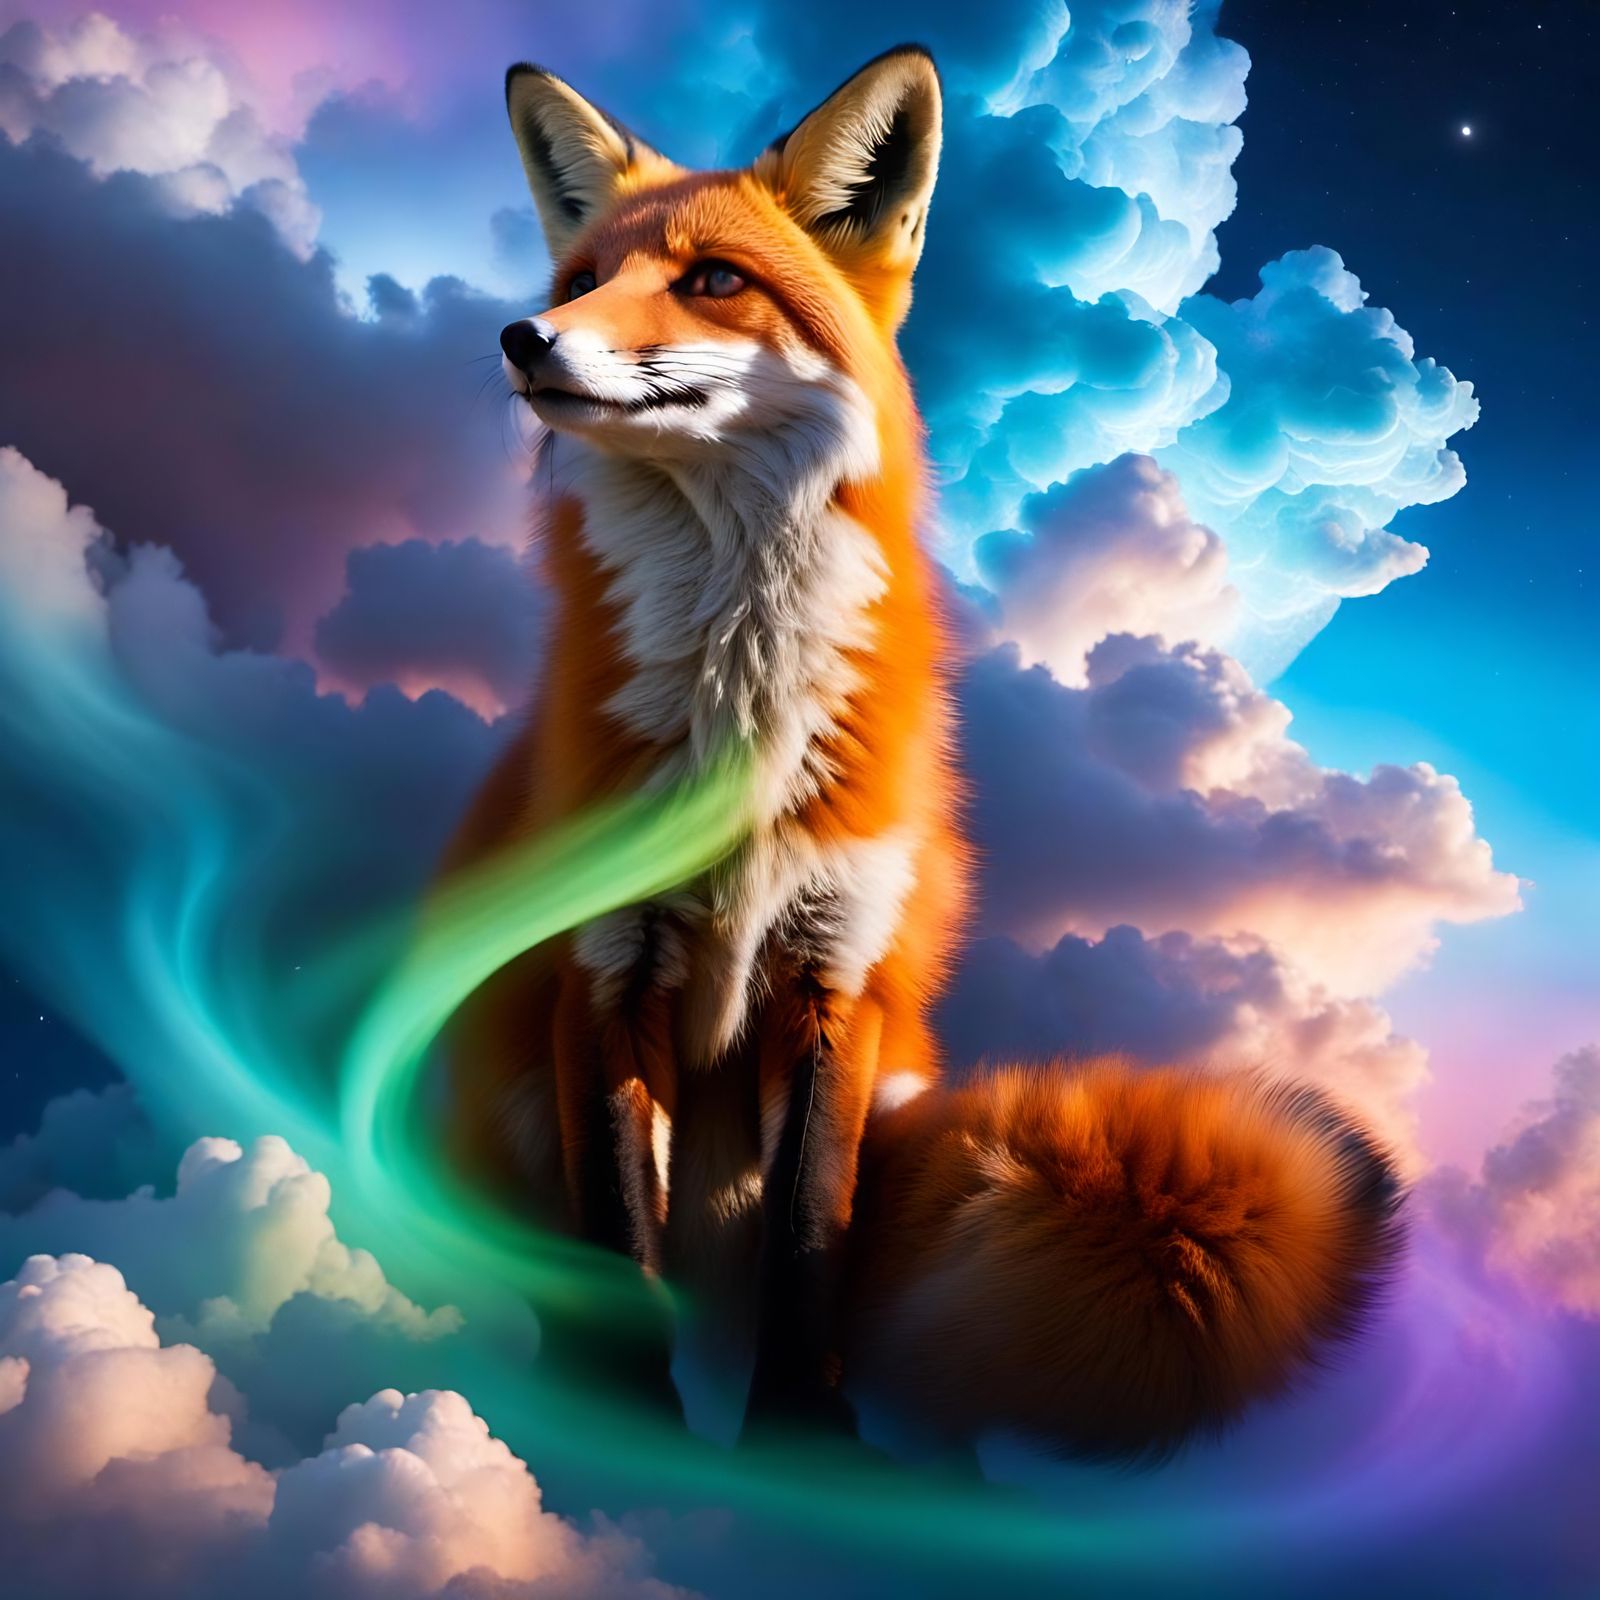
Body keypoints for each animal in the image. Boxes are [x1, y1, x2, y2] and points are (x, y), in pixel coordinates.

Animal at [443, 44, 1402, 1450]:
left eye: (712, 279)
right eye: (576, 284)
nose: (524, 338)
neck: (741, 695)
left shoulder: (837, 979)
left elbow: (807, 1237)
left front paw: (802, 1435)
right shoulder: (600, 971)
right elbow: (615, 1232)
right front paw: (624, 1426)